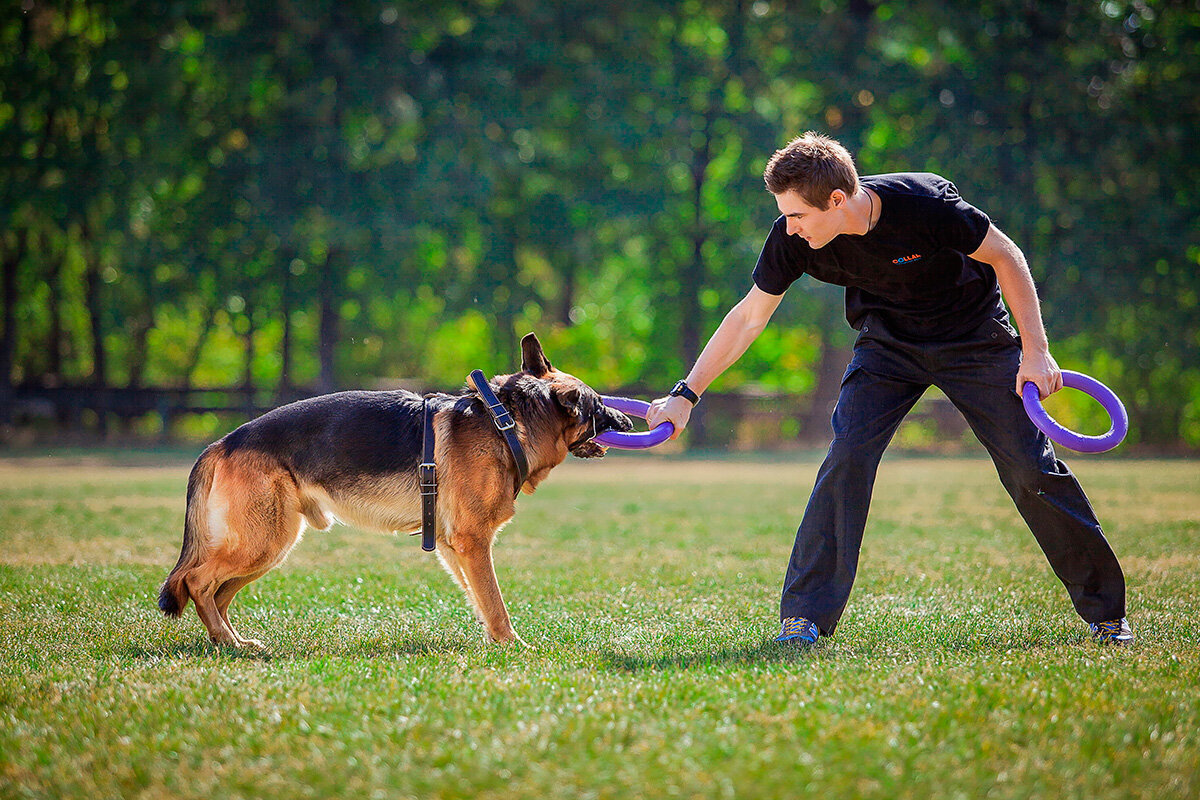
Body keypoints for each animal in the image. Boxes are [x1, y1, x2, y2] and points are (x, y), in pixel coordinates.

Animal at [157, 333, 638, 652]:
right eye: (598, 405)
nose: (629, 421)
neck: (507, 424)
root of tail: (223, 442)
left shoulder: (454, 546)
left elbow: (480, 598)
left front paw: (494, 641)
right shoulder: (472, 542)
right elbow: (495, 599)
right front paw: (512, 644)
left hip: (269, 545)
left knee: (217, 592)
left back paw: (231, 641)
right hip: (264, 540)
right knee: (197, 581)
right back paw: (227, 641)